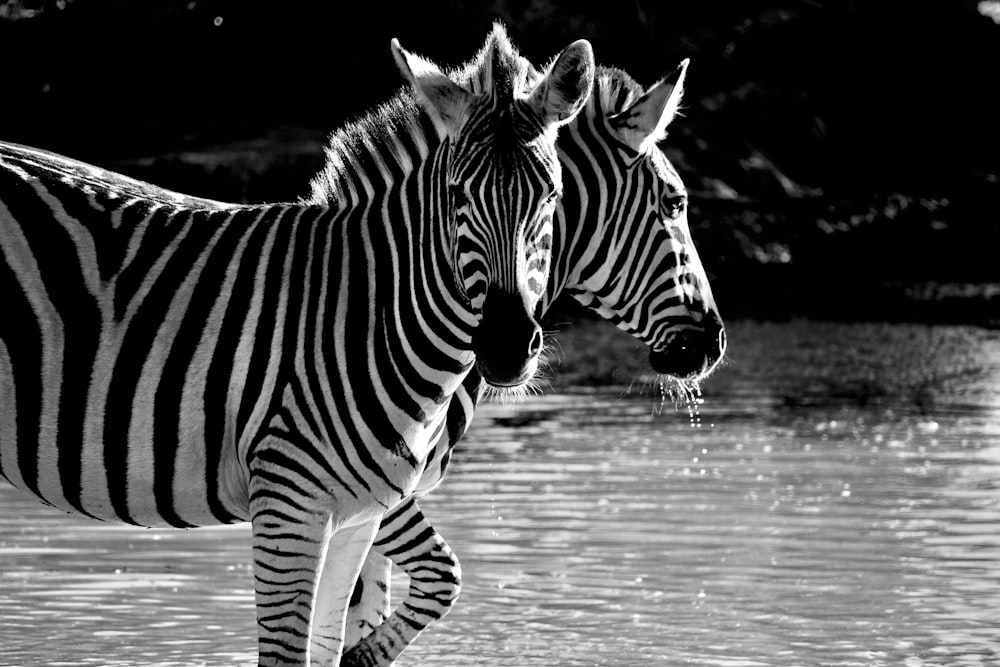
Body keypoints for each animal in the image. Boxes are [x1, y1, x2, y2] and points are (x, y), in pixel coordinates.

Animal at [0, 24, 592, 664]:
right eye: (458, 196)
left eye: (552, 196)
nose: (507, 347)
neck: (370, 313)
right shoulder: (288, 503)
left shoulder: (360, 515)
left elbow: (329, 645)